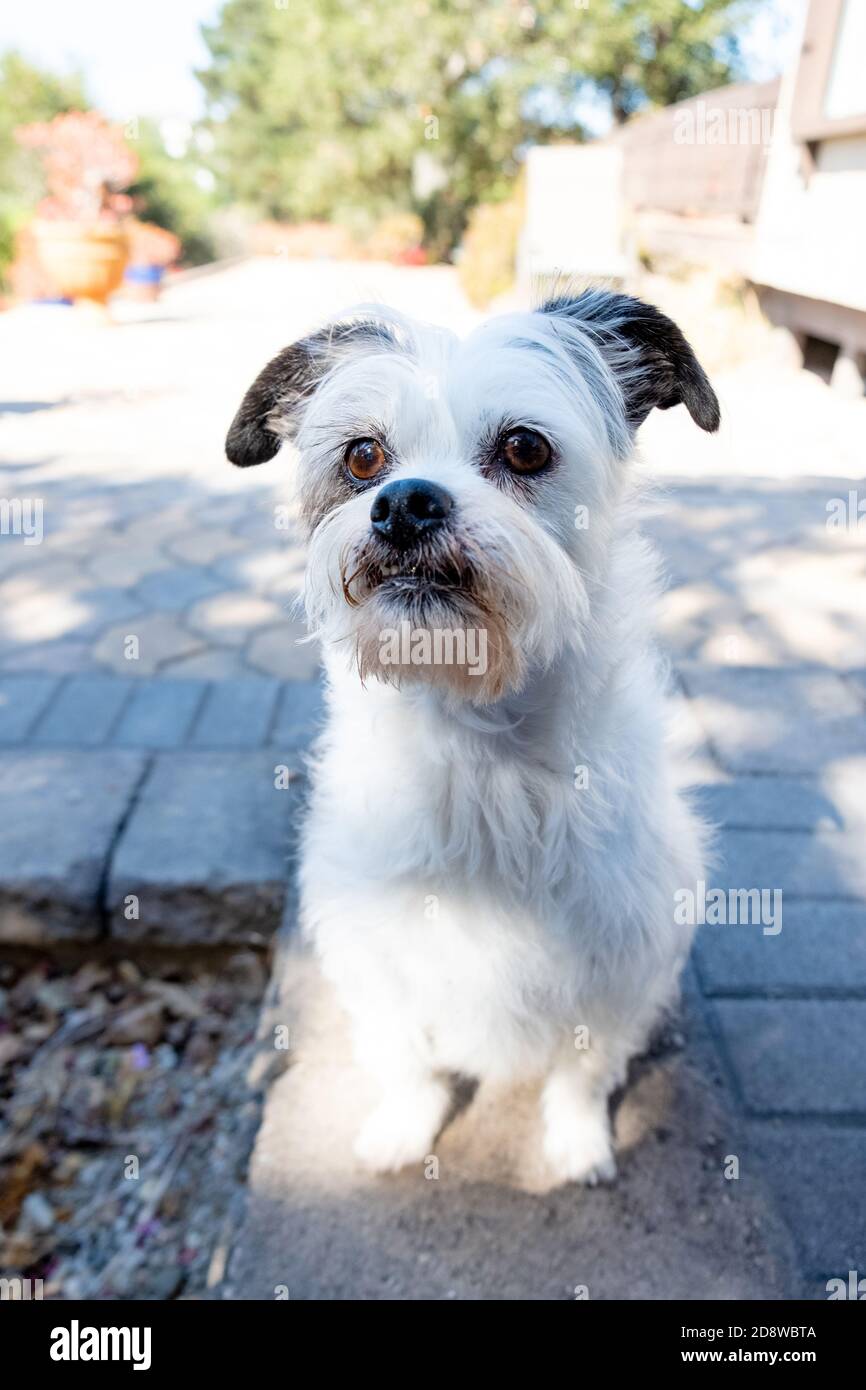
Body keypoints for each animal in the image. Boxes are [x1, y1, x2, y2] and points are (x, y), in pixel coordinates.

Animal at [229, 290, 717, 1184]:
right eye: (363, 456)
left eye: (525, 447)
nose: (403, 502)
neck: (478, 743)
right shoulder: (371, 956)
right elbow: (404, 1057)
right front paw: (405, 1127)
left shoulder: (626, 961)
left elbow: (584, 1067)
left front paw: (577, 1141)